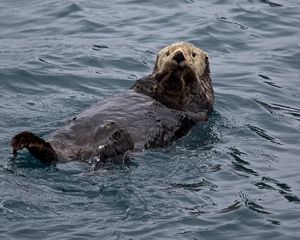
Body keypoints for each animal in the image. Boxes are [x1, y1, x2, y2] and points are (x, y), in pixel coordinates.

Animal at [11, 41, 213, 169]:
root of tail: (83, 155)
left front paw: (188, 73)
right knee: (52, 155)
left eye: (193, 54)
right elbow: (145, 82)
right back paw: (27, 140)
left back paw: (114, 140)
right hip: (64, 137)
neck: (171, 89)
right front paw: (161, 73)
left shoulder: (202, 105)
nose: (178, 55)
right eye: (168, 52)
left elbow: (196, 97)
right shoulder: (141, 87)